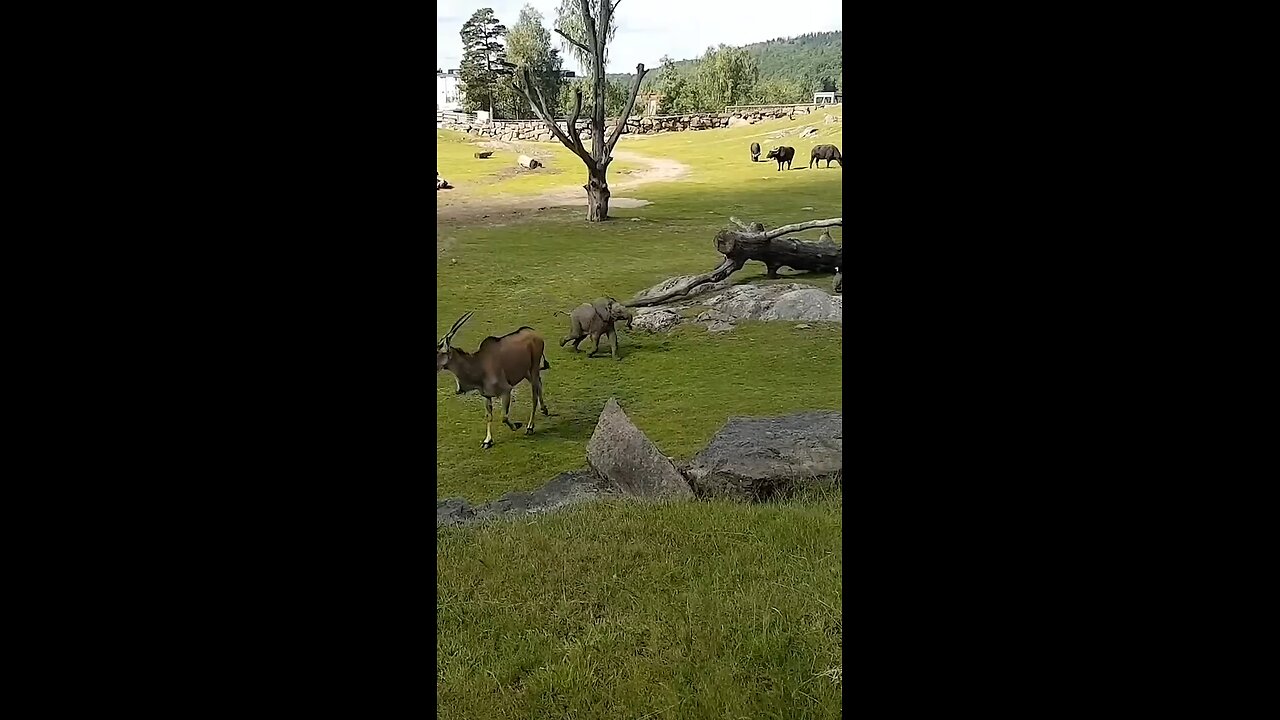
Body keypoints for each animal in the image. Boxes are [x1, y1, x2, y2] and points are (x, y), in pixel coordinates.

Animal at [435, 310, 550, 445]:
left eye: (438, 352)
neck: (479, 365)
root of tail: (535, 333)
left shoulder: (506, 391)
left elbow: (503, 416)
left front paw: (517, 425)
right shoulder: (486, 395)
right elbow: (489, 416)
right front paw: (487, 440)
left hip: (534, 368)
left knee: (534, 396)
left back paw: (530, 427)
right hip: (527, 372)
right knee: (539, 384)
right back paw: (544, 409)